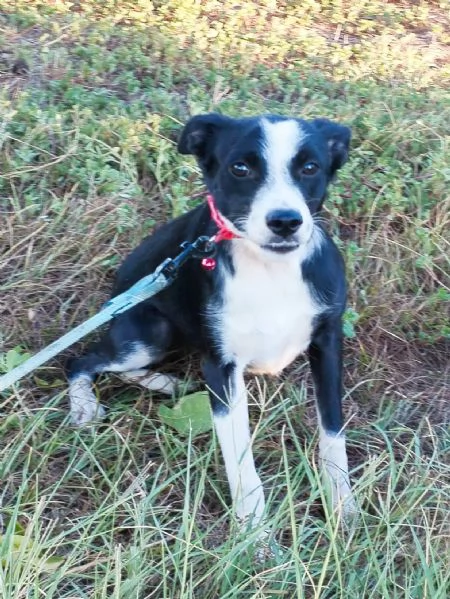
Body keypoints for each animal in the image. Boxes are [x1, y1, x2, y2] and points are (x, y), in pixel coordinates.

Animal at [67, 112, 356, 528]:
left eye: (310, 167)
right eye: (240, 168)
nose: (285, 221)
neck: (271, 269)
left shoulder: (328, 342)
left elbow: (333, 432)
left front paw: (342, 506)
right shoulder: (221, 367)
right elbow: (241, 460)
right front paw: (254, 532)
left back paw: (164, 382)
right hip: (148, 334)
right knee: (80, 361)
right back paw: (87, 405)